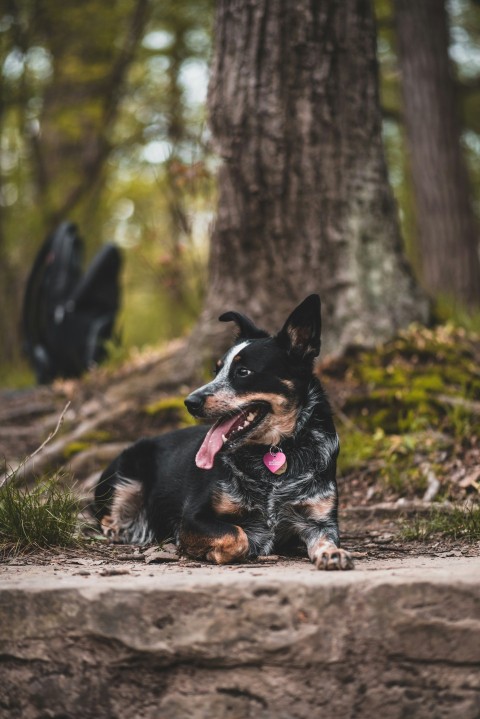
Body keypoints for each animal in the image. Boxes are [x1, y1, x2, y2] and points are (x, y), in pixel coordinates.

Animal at [94, 296, 354, 572]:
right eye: (215, 370)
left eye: (243, 372)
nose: (190, 402)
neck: (276, 449)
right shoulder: (193, 517)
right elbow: (237, 536)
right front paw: (213, 552)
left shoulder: (319, 519)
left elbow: (326, 538)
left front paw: (332, 553)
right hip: (125, 476)